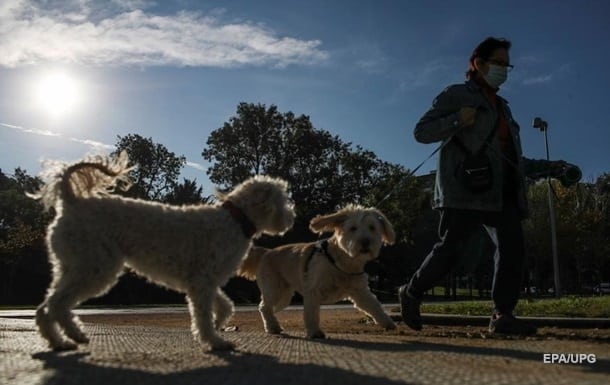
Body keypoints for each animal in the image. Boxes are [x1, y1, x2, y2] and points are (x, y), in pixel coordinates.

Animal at [30, 152, 294, 350]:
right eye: (282, 198)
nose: (292, 217)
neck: (235, 219)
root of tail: (71, 200)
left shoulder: (203, 283)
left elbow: (225, 306)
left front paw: (218, 324)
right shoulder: (202, 283)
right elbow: (203, 316)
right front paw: (214, 341)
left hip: (72, 268)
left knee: (48, 307)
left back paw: (65, 339)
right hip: (93, 268)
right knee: (56, 305)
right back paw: (66, 339)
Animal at [238, 204, 394, 336]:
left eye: (372, 227)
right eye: (353, 228)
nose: (365, 242)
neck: (343, 261)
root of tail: (266, 252)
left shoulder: (360, 293)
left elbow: (375, 306)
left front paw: (388, 323)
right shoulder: (313, 290)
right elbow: (311, 313)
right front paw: (314, 332)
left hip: (284, 297)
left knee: (268, 308)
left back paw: (272, 324)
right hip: (274, 289)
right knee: (264, 307)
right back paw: (272, 327)